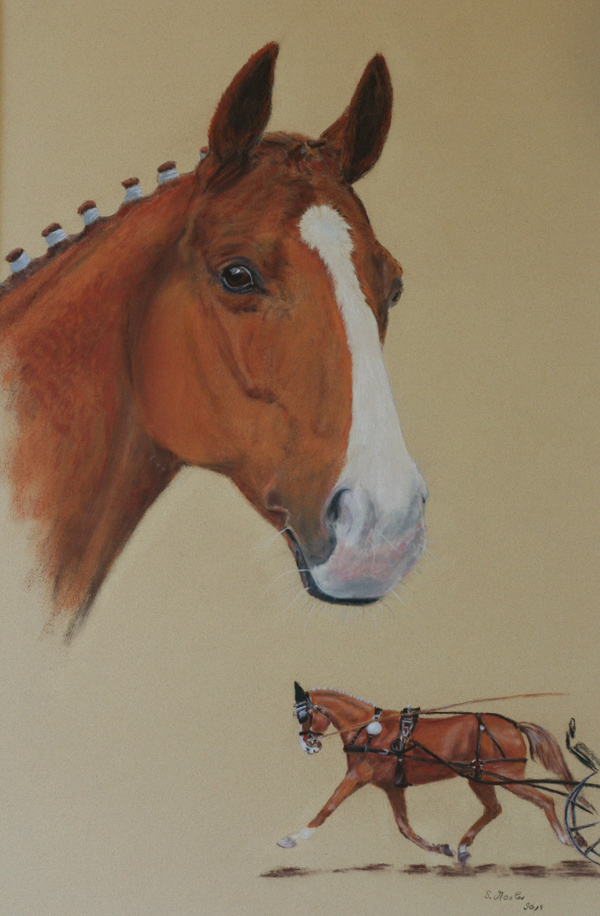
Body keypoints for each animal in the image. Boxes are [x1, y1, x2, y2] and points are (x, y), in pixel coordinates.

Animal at [278, 685, 583, 865]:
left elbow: (328, 807)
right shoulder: (392, 787)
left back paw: (568, 838)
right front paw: (437, 848)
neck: (370, 731)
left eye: (304, 715)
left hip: (504, 776)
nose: (308, 745)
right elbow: (403, 826)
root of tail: (514, 725)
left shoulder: (358, 775)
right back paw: (463, 847)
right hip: (480, 778)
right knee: (494, 809)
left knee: (546, 801)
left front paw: (294, 837)